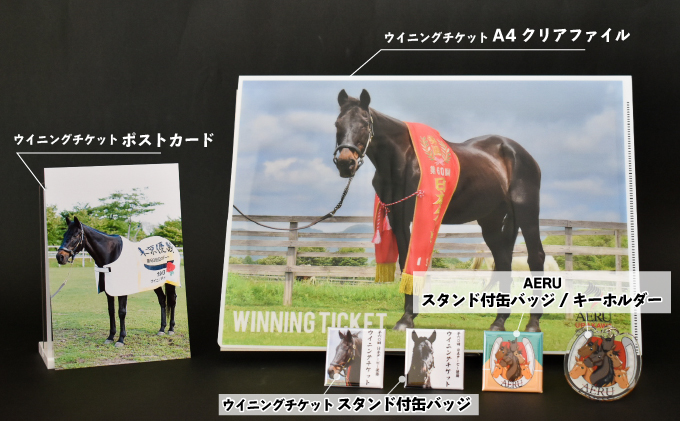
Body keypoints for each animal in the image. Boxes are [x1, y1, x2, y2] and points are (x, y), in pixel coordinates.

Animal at [55, 216, 178, 346]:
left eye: (76, 235)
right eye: (64, 234)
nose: (60, 257)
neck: (111, 255)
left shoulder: (122, 291)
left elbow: (121, 312)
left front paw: (121, 339)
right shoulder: (109, 291)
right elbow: (111, 311)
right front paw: (110, 336)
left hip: (170, 282)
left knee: (172, 300)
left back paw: (171, 329)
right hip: (155, 282)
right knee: (162, 299)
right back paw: (162, 329)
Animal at [333, 89, 545, 332]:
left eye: (364, 124)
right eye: (337, 123)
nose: (345, 163)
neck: (403, 157)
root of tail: (519, 153)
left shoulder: (412, 216)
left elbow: (413, 262)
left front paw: (407, 318)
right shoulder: (397, 217)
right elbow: (405, 261)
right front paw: (408, 315)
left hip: (527, 212)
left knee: (535, 257)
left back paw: (533, 323)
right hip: (494, 221)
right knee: (503, 262)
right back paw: (498, 322)